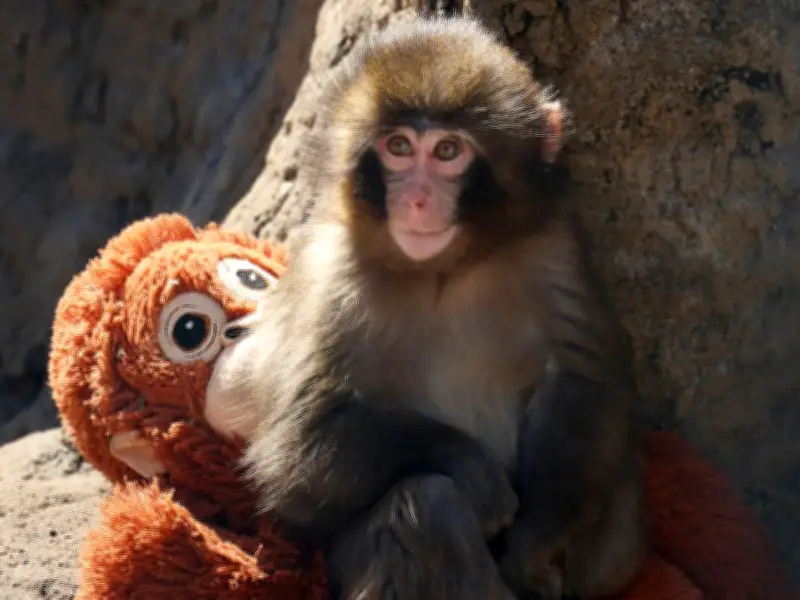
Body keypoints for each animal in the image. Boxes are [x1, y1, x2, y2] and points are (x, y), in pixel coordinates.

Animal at [234, 9, 649, 600]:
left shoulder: (552, 247)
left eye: (448, 152)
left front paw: (535, 543)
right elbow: (298, 444)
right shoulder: (330, 273)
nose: (416, 199)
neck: (443, 271)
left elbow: (580, 382)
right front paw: (471, 468)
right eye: (399, 147)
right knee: (425, 506)